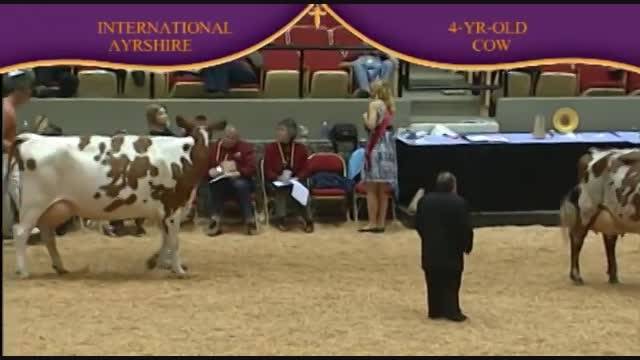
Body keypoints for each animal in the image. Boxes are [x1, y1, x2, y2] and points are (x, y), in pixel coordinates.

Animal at [5, 116, 224, 278]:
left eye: (211, 134)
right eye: (191, 133)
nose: (203, 153)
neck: (183, 157)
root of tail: (33, 137)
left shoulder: (162, 210)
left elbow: (165, 239)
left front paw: (157, 262)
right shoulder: (173, 206)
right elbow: (174, 240)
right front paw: (177, 269)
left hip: (55, 206)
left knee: (47, 234)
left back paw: (60, 267)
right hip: (34, 202)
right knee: (21, 231)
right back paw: (23, 271)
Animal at [560, 146, 640, 284]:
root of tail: (595, 153)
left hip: (610, 216)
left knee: (609, 241)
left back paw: (613, 277)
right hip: (587, 208)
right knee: (577, 238)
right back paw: (576, 276)